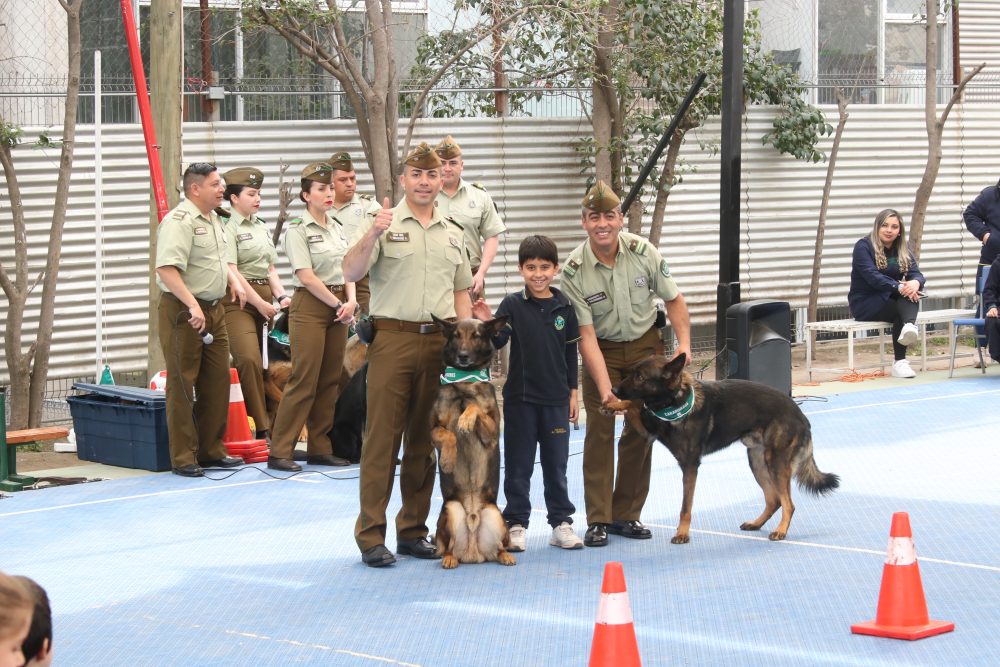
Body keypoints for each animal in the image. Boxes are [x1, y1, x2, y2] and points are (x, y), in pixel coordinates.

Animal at [155, 162, 245, 478]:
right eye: (216, 183)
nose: (222, 191)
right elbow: (169, 268)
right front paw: (195, 309)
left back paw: (215, 458)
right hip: (180, 338)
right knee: (180, 388)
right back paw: (188, 464)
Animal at [346, 142, 474, 568]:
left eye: (428, 175)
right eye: (417, 173)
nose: (424, 182)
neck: (422, 216)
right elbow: (353, 263)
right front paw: (380, 222)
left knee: (418, 450)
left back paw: (415, 540)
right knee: (380, 451)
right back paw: (376, 547)